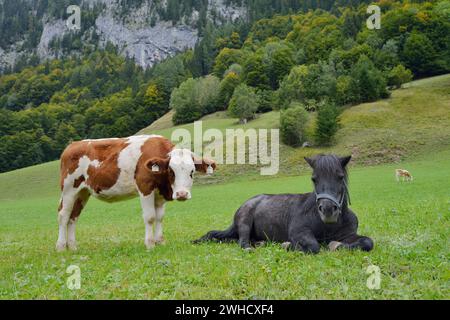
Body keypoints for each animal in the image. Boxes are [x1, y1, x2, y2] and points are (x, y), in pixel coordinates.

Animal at [56, 134, 216, 251]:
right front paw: (150, 244)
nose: (182, 194)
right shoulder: (145, 187)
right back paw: (61, 247)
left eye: (192, 171)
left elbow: (160, 217)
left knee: (73, 217)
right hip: (69, 189)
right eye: (171, 171)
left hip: (82, 193)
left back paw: (73, 247)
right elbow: (150, 217)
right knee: (63, 216)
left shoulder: (160, 194)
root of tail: (73, 144)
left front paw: (160, 241)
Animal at [195, 154, 374, 254]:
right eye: (313, 179)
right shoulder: (298, 231)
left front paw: (335, 245)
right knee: (242, 241)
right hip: (245, 222)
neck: (328, 225)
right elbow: (313, 246)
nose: (328, 210)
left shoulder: (348, 235)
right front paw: (287, 245)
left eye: (340, 177)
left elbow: (367, 242)